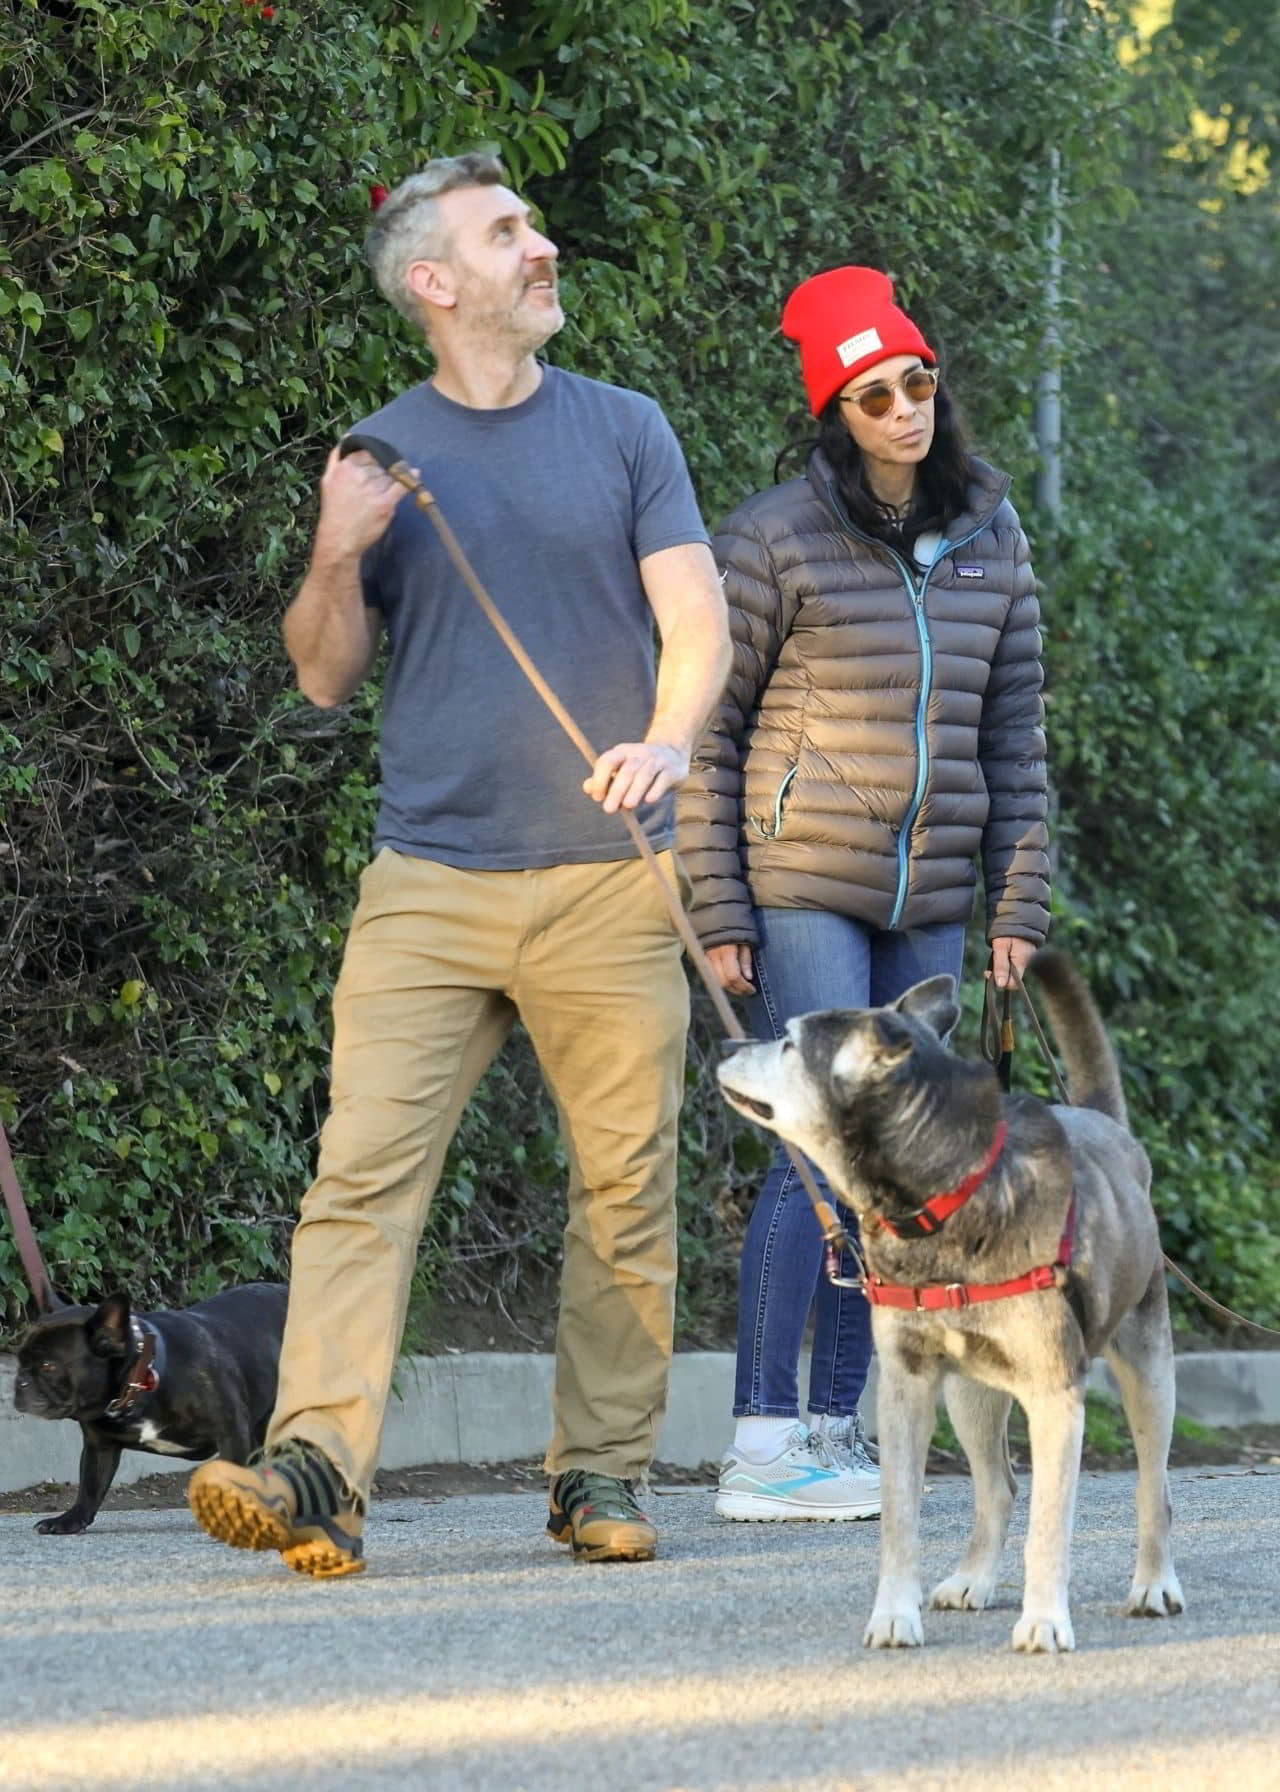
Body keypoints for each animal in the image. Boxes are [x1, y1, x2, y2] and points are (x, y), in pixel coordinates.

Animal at [713, 946, 1183, 1655]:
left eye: (789, 1042)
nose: (726, 1040)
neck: (946, 1195)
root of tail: (1107, 1125)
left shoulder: (1055, 1396)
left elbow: (1051, 1525)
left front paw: (1045, 1619)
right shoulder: (905, 1387)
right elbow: (900, 1519)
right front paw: (893, 1614)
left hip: (1149, 1370)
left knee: (1152, 1487)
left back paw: (1154, 1584)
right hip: (970, 1393)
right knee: (998, 1488)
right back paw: (974, 1578)